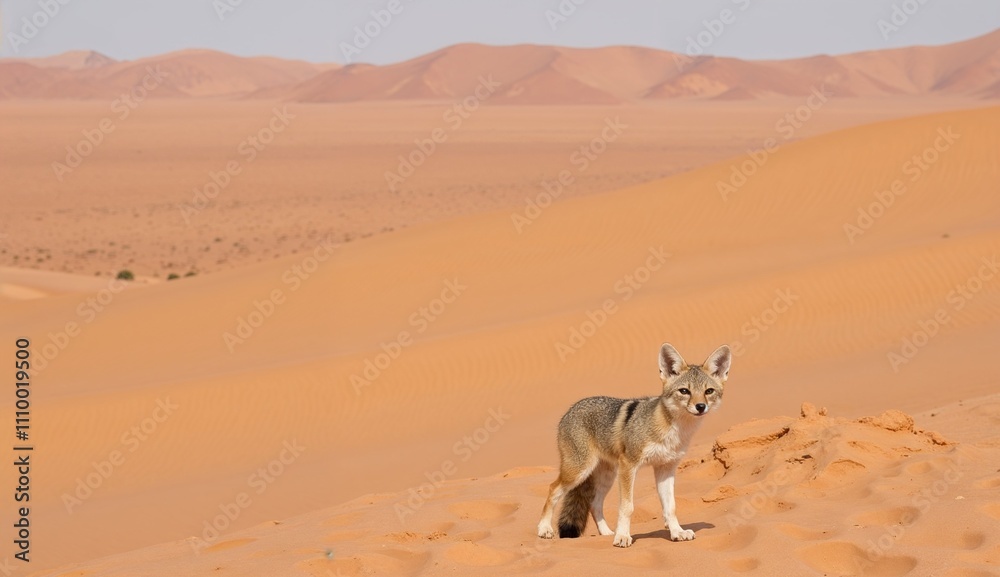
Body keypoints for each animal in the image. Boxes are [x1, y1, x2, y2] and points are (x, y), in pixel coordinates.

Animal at [536, 343, 731, 548]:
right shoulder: (629, 465)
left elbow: (670, 507)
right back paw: (544, 529)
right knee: (553, 489)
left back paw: (606, 533)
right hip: (579, 472)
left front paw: (677, 532)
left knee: (594, 504)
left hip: (607, 476)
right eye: (684, 391)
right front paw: (623, 537)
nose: (700, 406)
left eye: (708, 391)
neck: (673, 431)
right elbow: (627, 507)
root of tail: (571, 409)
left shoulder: (666, 468)